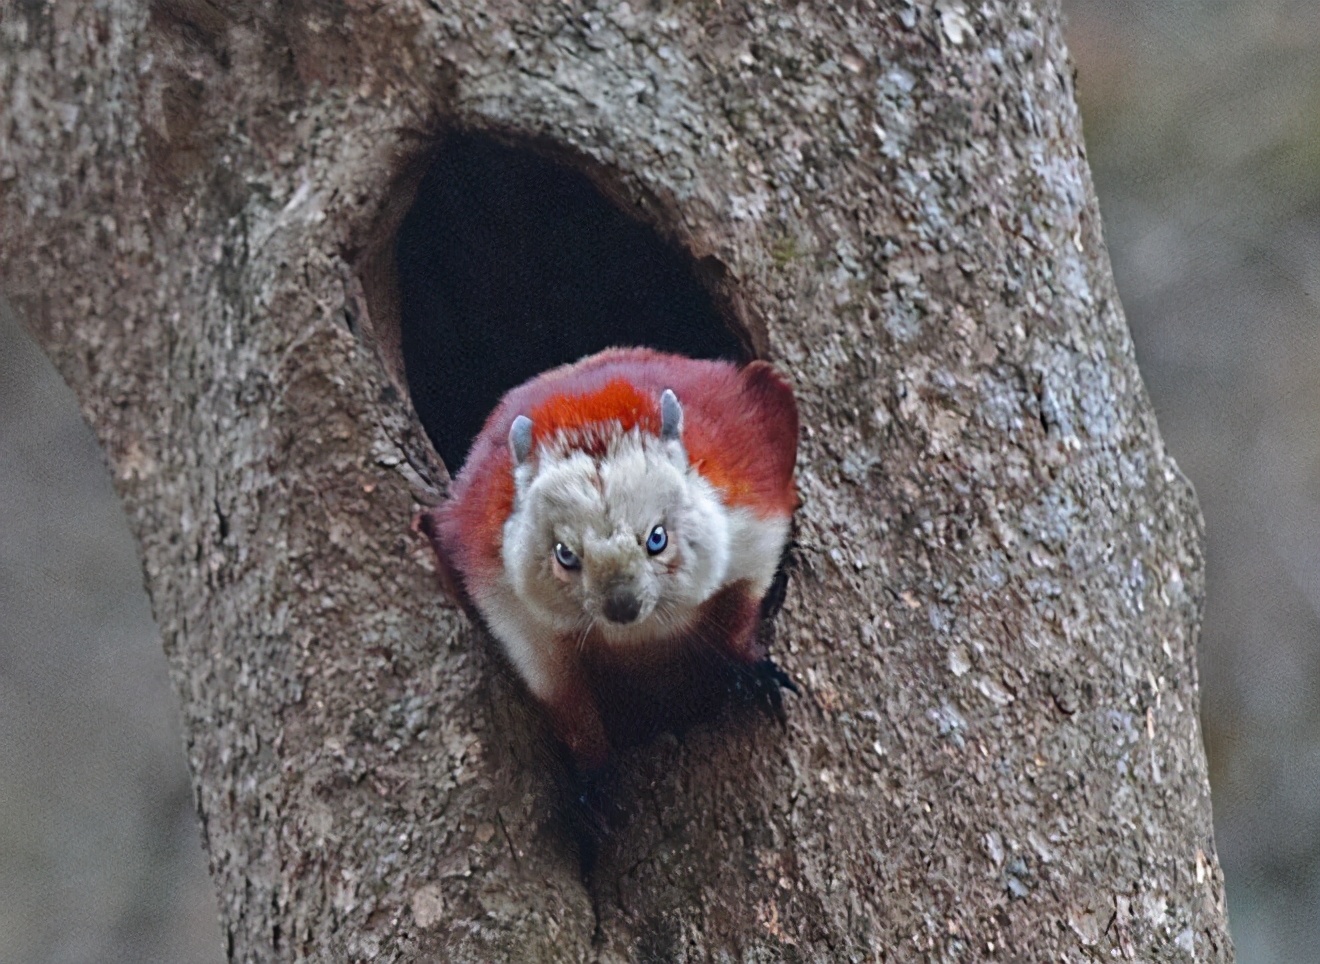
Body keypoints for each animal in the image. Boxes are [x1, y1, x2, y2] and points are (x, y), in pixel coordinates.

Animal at [417, 345, 797, 771]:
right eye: (565, 554)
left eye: (657, 539)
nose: (622, 606)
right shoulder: (502, 596)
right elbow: (562, 694)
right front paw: (592, 768)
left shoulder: (753, 518)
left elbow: (741, 606)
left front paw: (752, 668)